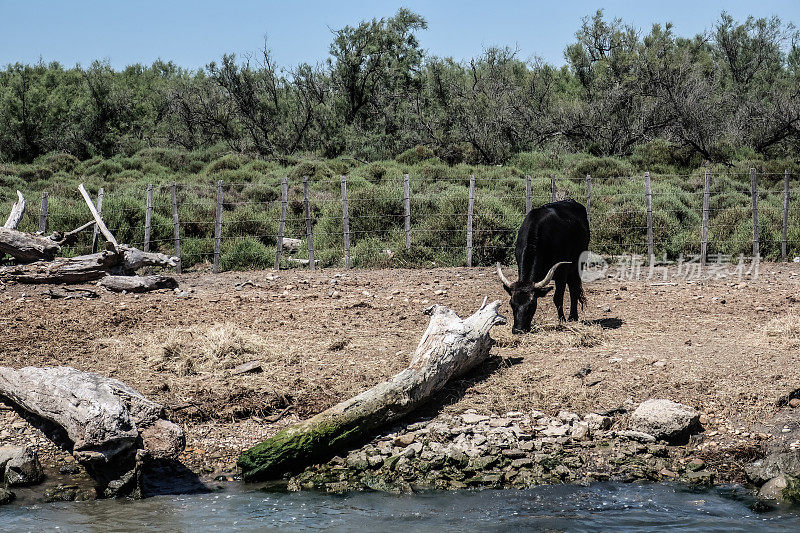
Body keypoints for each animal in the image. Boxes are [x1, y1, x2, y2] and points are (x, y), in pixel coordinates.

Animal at [496, 200, 592, 332]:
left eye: (532, 305)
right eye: (511, 304)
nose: (518, 330)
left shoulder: (561, 272)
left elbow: (558, 298)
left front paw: (562, 320)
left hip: (578, 265)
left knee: (574, 289)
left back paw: (573, 317)